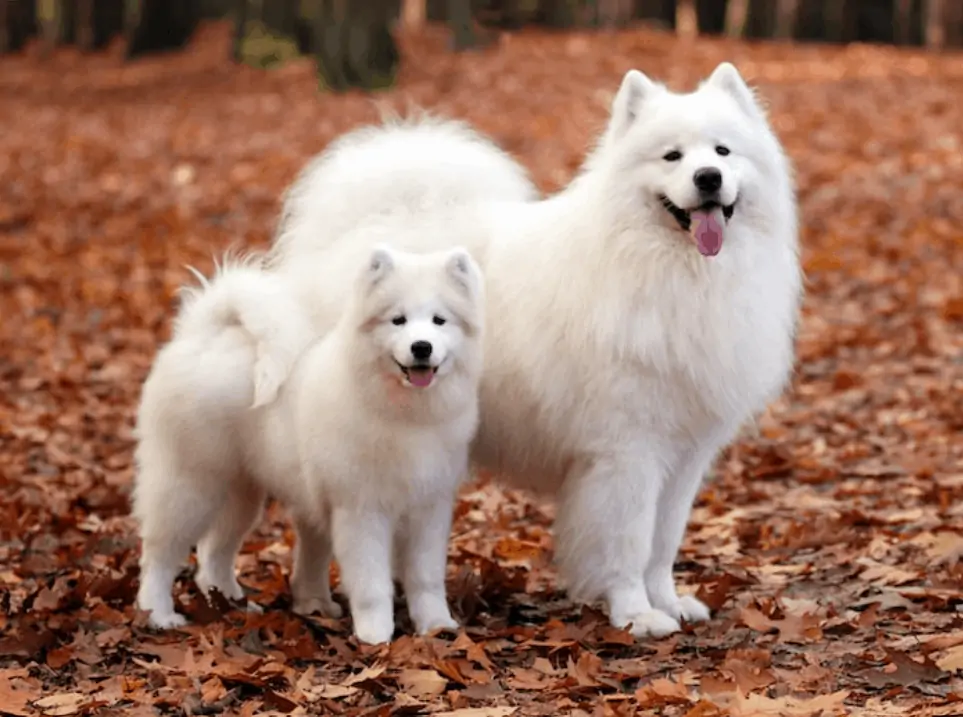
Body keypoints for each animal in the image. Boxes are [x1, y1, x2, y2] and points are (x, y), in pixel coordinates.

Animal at [132, 242, 486, 644]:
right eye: (398, 320)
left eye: (440, 320)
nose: (422, 347)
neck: (405, 413)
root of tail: (201, 335)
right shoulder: (362, 511)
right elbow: (371, 583)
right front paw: (375, 636)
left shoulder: (429, 508)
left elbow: (426, 578)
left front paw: (436, 625)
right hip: (190, 485)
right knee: (159, 554)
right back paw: (159, 614)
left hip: (241, 493)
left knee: (214, 553)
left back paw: (233, 604)